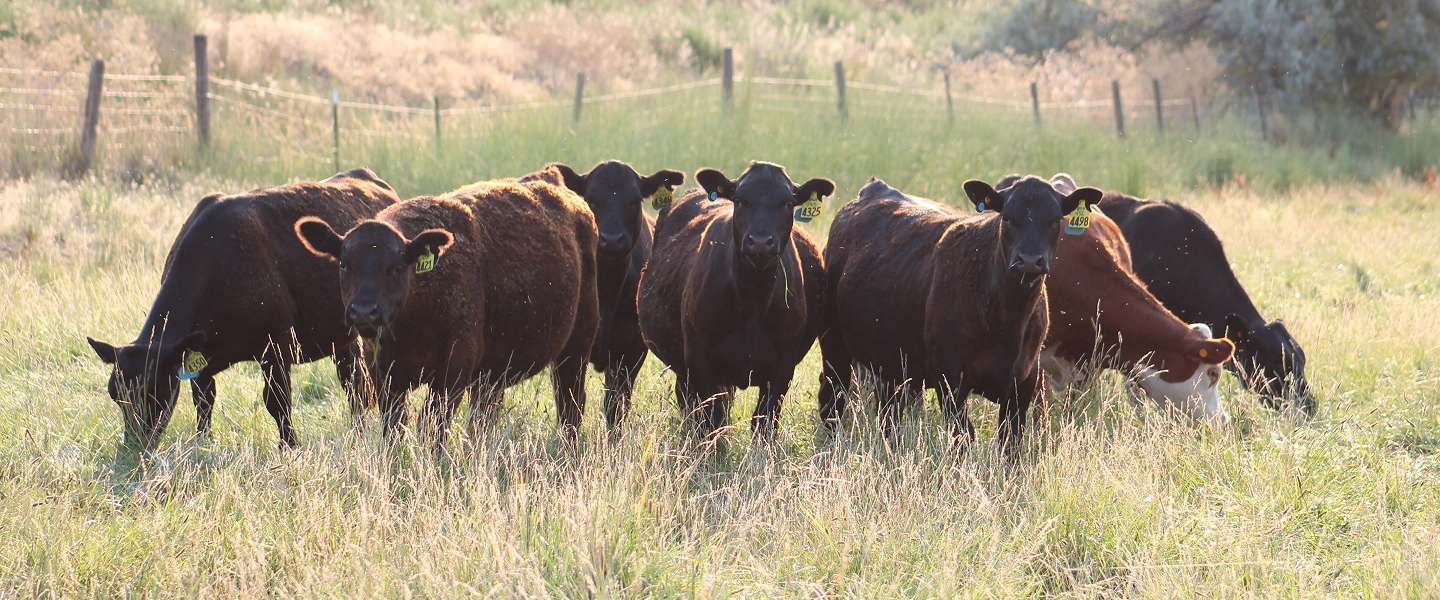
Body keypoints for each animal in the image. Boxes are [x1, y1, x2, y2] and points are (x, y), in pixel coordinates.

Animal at [86, 168, 399, 449]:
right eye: (115, 394)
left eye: (155, 390)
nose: (135, 446)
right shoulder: (200, 358)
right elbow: (204, 402)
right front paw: (202, 445)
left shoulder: (276, 348)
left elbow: (278, 403)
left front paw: (290, 447)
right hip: (341, 338)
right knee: (355, 383)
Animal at [296, 166, 599, 448]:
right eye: (343, 264)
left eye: (396, 267)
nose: (363, 311)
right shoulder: (381, 373)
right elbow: (394, 428)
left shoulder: (454, 369)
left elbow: (432, 426)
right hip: (494, 373)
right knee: (485, 415)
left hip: (576, 349)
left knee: (570, 407)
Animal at [549, 160, 685, 428]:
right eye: (591, 198)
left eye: (634, 200)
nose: (611, 240)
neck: (608, 293)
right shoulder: (569, 349)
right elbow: (569, 406)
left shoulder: (631, 352)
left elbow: (616, 407)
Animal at [637, 161, 833, 439]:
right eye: (740, 200)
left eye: (787, 203)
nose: (760, 242)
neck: (752, 300)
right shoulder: (698, 360)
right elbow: (710, 422)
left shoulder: (783, 366)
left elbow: (764, 423)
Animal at [816, 176, 1101, 452]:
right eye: (1007, 218)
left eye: (1055, 220)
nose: (1030, 261)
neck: (1008, 322)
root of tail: (874, 188)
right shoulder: (950, 380)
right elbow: (964, 437)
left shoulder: (1024, 383)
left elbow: (1010, 442)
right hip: (835, 346)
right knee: (832, 397)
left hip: (893, 363)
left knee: (888, 414)